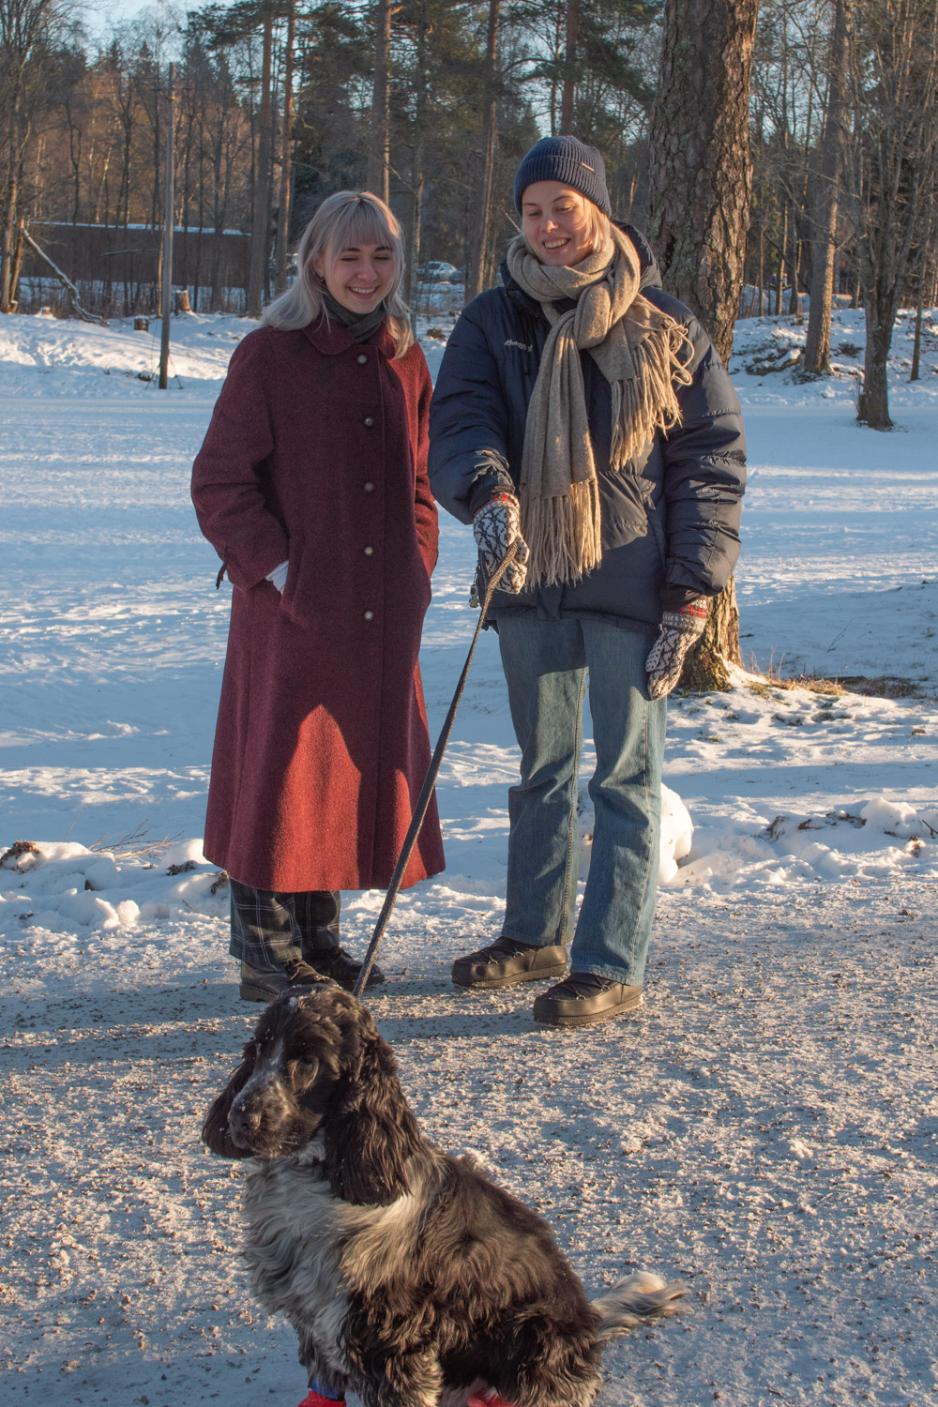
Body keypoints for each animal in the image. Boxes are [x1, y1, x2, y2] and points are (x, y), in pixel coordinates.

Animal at [202, 979, 683, 1407]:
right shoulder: (317, 1321)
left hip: (532, 1330)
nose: (240, 1117)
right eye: (258, 1049)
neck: (318, 1178)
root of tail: (589, 1321)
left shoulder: (390, 1340)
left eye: (307, 1060)